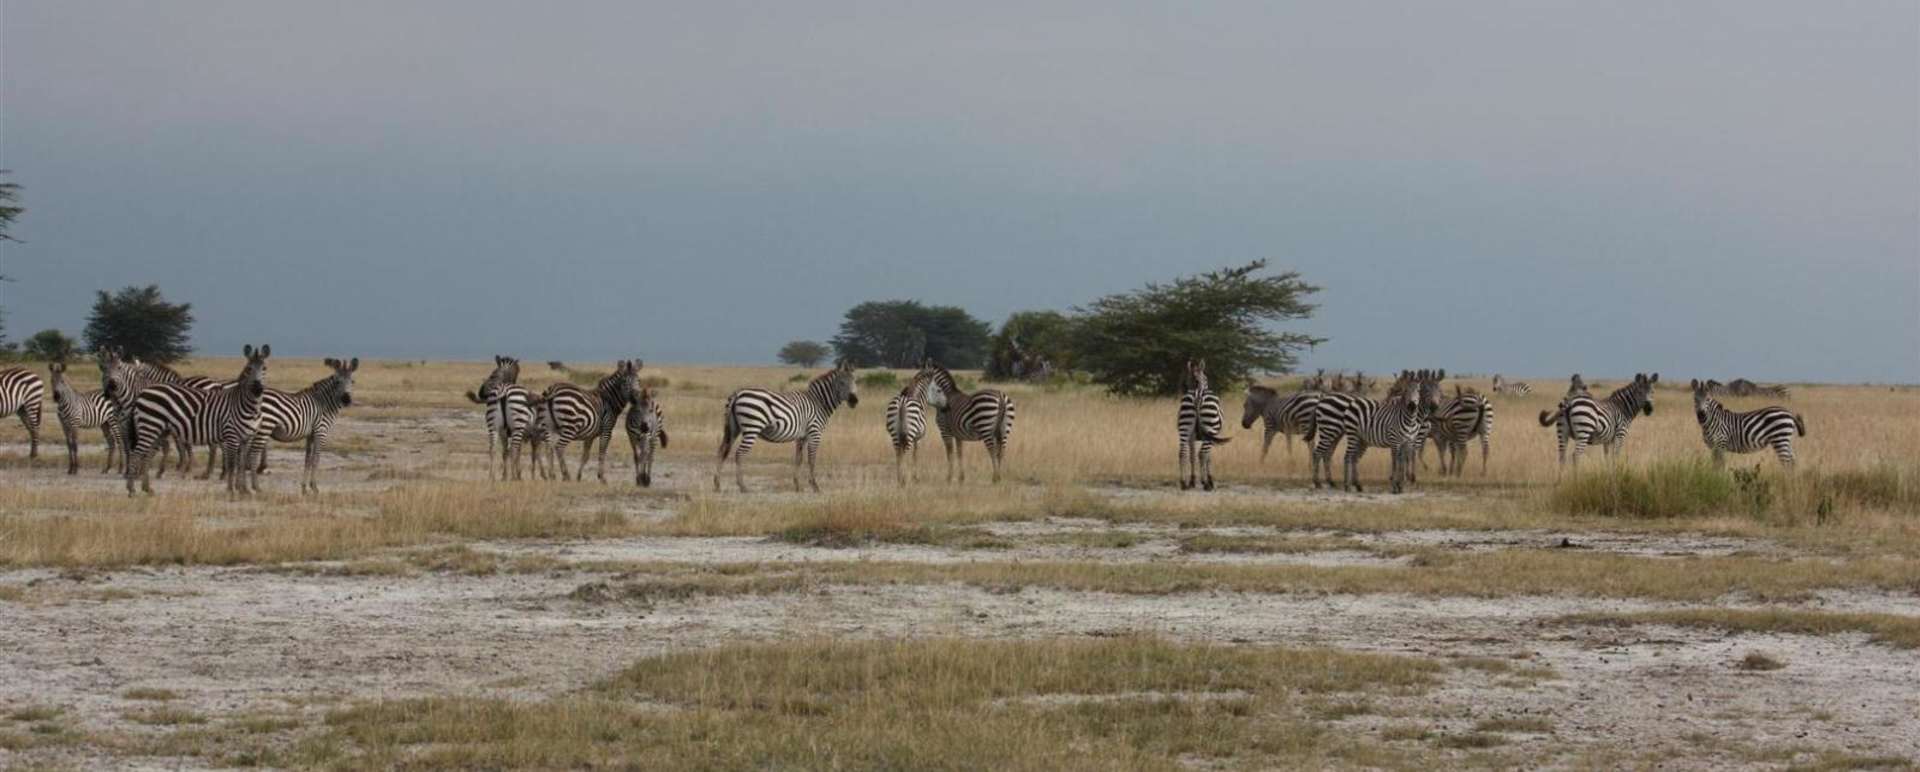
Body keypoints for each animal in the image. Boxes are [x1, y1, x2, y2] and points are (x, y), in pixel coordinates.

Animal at [123, 345, 272, 496]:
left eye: (264, 368)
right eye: (249, 368)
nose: (258, 389)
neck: (248, 406)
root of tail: (143, 392)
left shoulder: (246, 438)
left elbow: (241, 464)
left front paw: (244, 490)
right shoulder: (232, 436)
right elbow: (232, 464)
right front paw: (231, 490)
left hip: (159, 430)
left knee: (147, 454)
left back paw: (146, 488)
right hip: (150, 426)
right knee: (137, 453)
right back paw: (131, 489)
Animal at [246, 357, 358, 494]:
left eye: (352, 381)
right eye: (337, 382)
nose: (346, 399)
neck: (324, 403)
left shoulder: (311, 434)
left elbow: (307, 460)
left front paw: (304, 488)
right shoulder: (321, 431)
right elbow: (316, 459)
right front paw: (314, 487)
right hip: (265, 427)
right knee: (253, 454)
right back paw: (256, 487)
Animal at [714, 360, 859, 492]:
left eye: (855, 381)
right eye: (841, 383)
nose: (854, 401)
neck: (819, 403)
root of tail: (738, 394)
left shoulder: (802, 436)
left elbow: (799, 459)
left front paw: (797, 486)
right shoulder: (814, 433)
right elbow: (811, 459)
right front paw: (815, 486)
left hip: (733, 429)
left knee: (722, 451)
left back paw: (717, 485)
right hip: (752, 428)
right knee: (739, 454)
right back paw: (742, 486)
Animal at [1177, 358, 1233, 491]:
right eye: (1206, 378)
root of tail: (1198, 394)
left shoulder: (1193, 437)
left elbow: (1192, 455)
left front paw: (1192, 481)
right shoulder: (1210, 436)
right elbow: (1208, 457)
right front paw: (1209, 480)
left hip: (1185, 426)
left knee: (1183, 452)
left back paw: (1183, 483)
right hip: (1210, 427)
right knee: (1203, 454)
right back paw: (1206, 484)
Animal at [1311, 369, 1440, 493]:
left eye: (1439, 391)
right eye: (1426, 390)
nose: (1435, 407)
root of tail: (1323, 397)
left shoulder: (1408, 441)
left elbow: (1403, 460)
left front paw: (1402, 482)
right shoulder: (1398, 440)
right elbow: (1399, 460)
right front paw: (1400, 482)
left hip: (1339, 434)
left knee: (1330, 454)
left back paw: (1337, 483)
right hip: (1331, 430)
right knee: (1320, 453)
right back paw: (1320, 483)